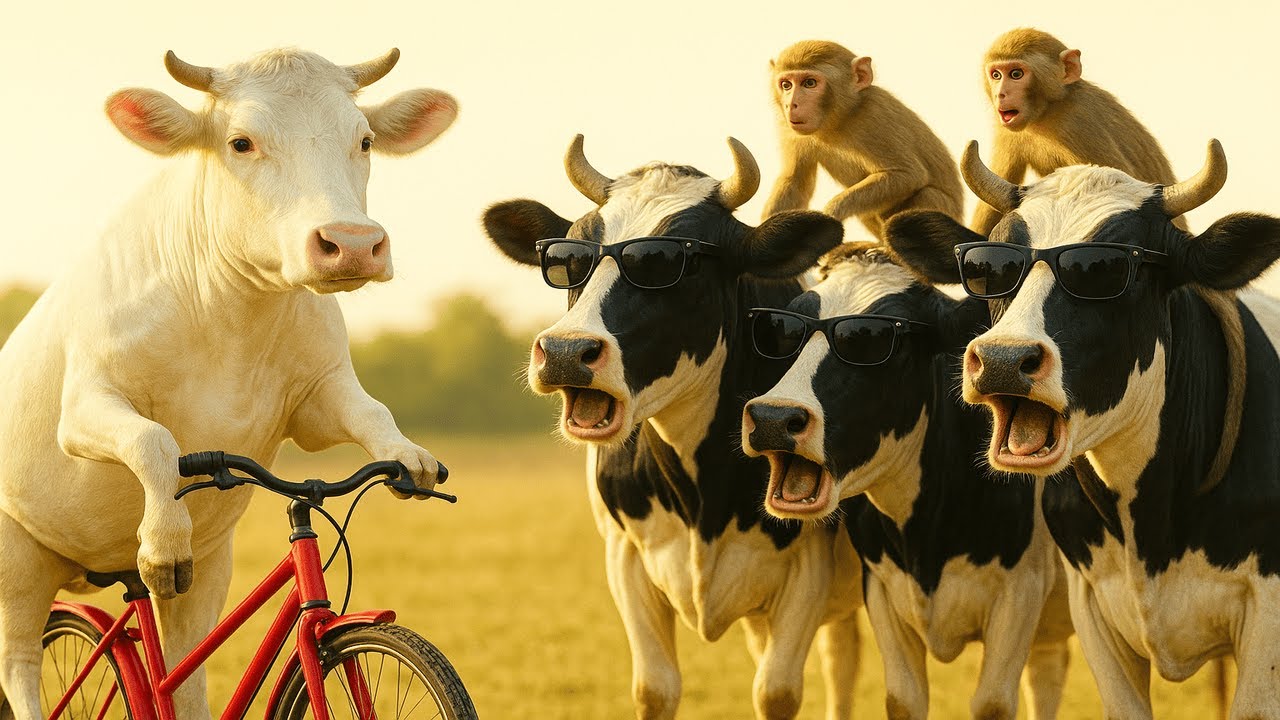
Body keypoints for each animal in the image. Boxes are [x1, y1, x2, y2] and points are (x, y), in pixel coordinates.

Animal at [0, 49, 457, 719]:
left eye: (365, 139)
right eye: (241, 142)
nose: (352, 244)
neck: (229, 314)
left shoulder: (321, 395)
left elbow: (373, 414)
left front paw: (410, 459)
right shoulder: (84, 406)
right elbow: (156, 441)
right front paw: (163, 541)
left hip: (209, 566)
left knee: (179, 673)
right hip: (17, 562)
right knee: (21, 667)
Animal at [482, 136, 862, 719]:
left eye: (663, 262)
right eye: (569, 257)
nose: (566, 351)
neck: (702, 496)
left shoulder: (809, 571)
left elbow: (776, 692)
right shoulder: (625, 558)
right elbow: (655, 690)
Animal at [740, 242, 1073, 720]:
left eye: (873, 340)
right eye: (787, 328)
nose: (772, 418)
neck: (926, 540)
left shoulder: (1021, 592)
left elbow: (992, 704)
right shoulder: (882, 589)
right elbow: (903, 700)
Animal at [883, 140, 1280, 719]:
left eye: (1106, 269)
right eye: (989, 265)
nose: (1002, 360)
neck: (1151, 525)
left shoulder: (1266, 613)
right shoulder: (1092, 602)